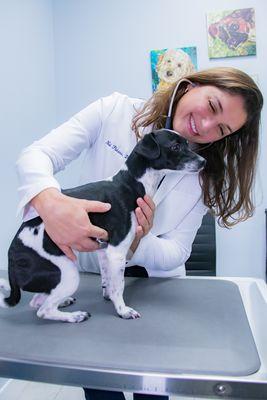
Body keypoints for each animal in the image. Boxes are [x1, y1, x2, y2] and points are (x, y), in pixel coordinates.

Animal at [0, 130, 205, 324]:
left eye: (187, 143)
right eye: (175, 147)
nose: (204, 161)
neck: (132, 184)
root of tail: (12, 255)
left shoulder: (104, 250)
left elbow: (108, 279)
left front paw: (109, 296)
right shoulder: (117, 251)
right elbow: (119, 286)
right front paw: (122, 310)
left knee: (37, 301)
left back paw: (63, 302)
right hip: (67, 273)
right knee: (43, 310)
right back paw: (75, 316)